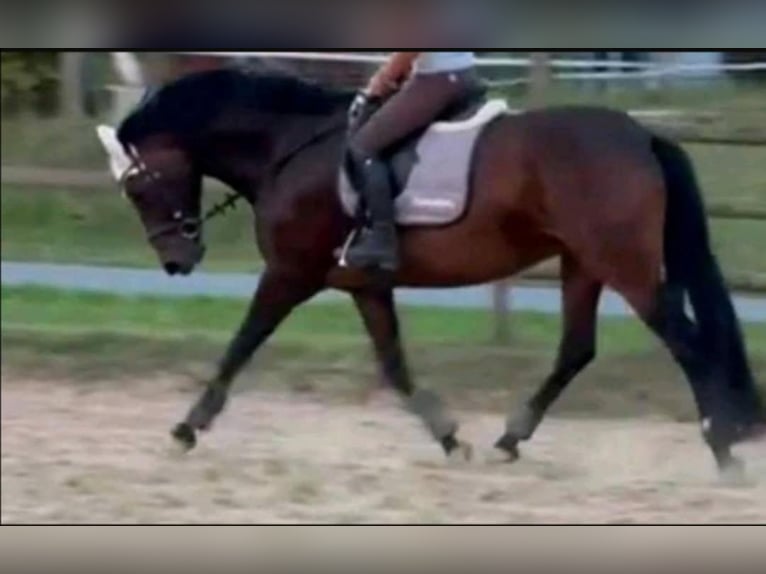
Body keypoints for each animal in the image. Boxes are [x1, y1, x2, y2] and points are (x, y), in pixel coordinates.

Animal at [96, 66, 760, 476]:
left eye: (139, 188)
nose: (177, 262)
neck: (290, 148)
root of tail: (640, 135)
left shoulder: (289, 273)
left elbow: (241, 345)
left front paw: (187, 427)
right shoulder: (365, 285)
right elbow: (395, 367)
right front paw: (450, 437)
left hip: (626, 266)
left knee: (687, 343)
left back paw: (724, 450)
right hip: (583, 263)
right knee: (576, 349)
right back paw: (508, 441)